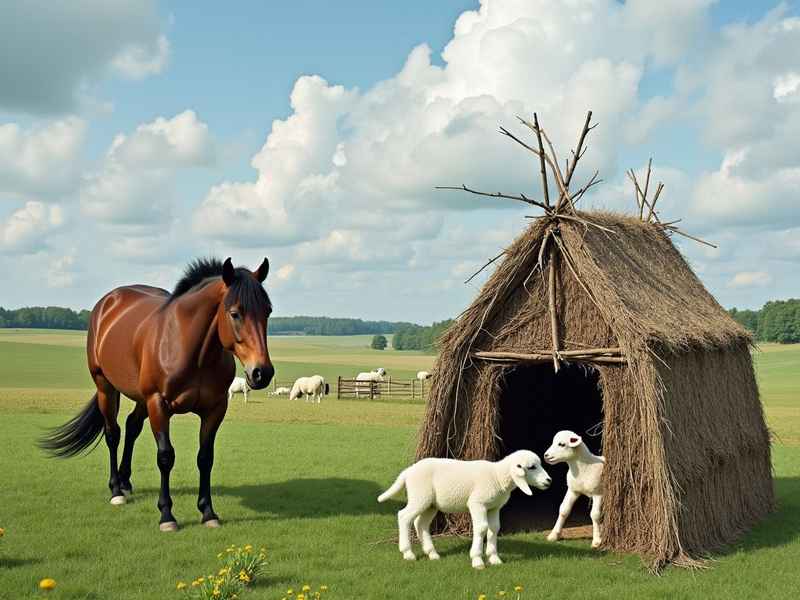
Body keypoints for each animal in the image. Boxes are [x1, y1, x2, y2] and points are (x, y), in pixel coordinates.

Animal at [40, 257, 274, 532]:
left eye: (267, 311)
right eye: (235, 313)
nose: (261, 373)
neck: (191, 350)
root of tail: (108, 302)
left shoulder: (214, 409)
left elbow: (205, 458)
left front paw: (208, 512)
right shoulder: (158, 404)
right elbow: (165, 456)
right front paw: (167, 515)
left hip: (140, 398)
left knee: (131, 426)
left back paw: (126, 482)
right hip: (106, 387)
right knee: (113, 434)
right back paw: (116, 490)